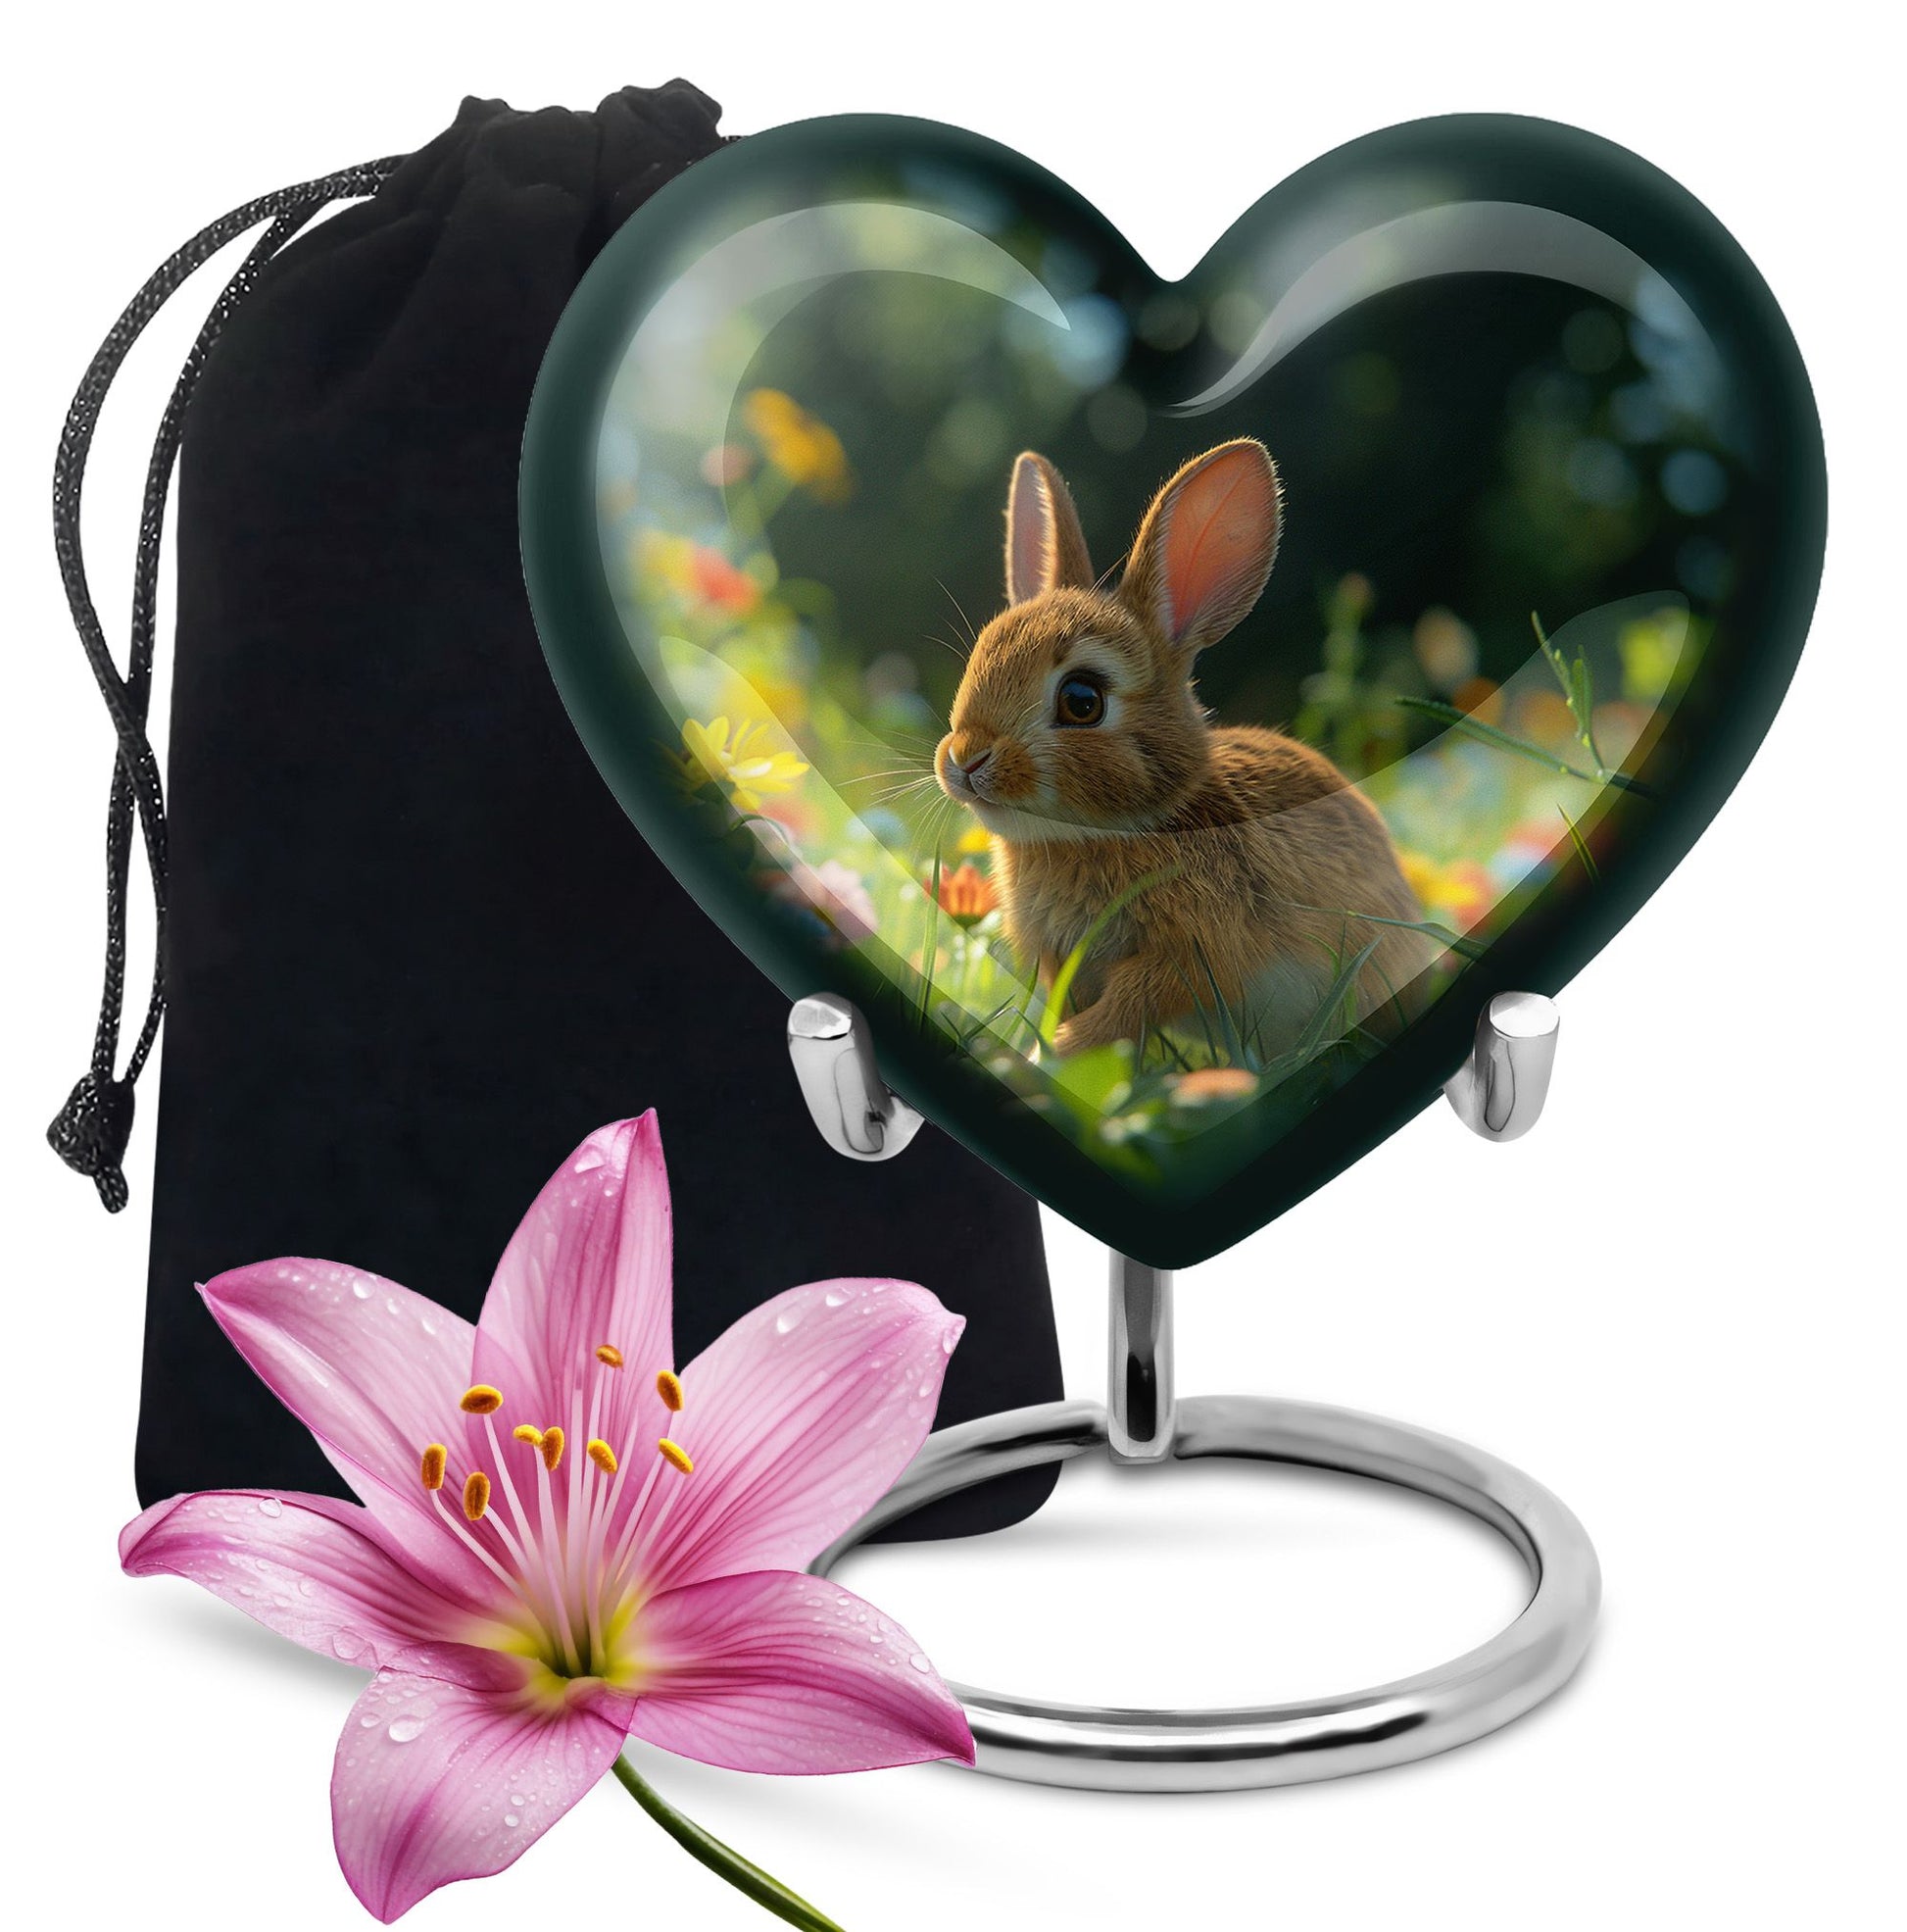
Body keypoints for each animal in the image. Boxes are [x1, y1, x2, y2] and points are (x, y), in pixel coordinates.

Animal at [934, 438, 1433, 1057]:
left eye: (1081, 700)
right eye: (981, 652)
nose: (965, 759)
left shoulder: (1189, 954)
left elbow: (1129, 1005)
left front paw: (1056, 1052)